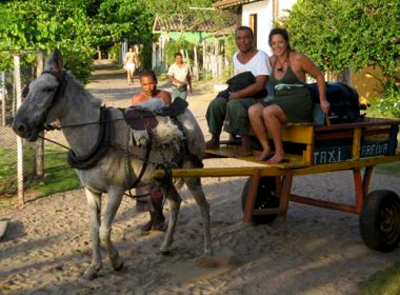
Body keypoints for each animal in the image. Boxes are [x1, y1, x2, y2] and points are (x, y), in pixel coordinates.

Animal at [12, 49, 212, 280]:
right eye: (29, 88)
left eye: (48, 89)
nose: (18, 126)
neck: (98, 135)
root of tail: (184, 113)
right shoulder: (91, 191)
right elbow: (93, 229)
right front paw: (94, 267)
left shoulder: (116, 190)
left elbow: (104, 230)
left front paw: (116, 261)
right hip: (163, 176)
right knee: (175, 202)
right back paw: (166, 245)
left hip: (191, 171)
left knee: (203, 206)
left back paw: (208, 249)